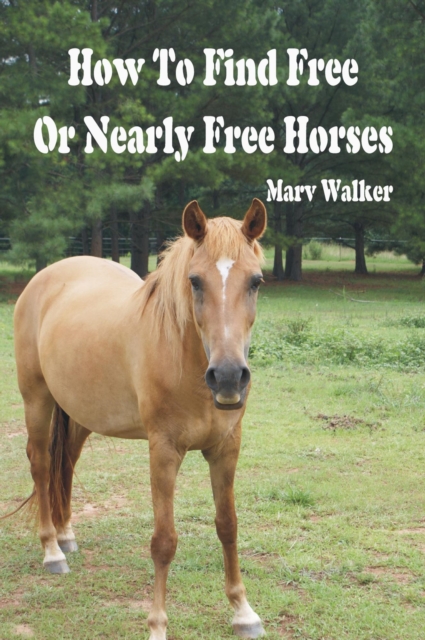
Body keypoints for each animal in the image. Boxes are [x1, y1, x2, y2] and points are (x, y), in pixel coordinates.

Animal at [12, 198, 267, 640]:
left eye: (255, 281)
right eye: (195, 281)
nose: (228, 377)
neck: (183, 357)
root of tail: (43, 279)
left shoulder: (225, 448)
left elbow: (228, 525)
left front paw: (243, 611)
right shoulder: (163, 451)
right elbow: (164, 541)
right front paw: (157, 625)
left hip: (79, 412)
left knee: (66, 464)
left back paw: (66, 535)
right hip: (37, 400)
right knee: (43, 466)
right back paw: (51, 551)